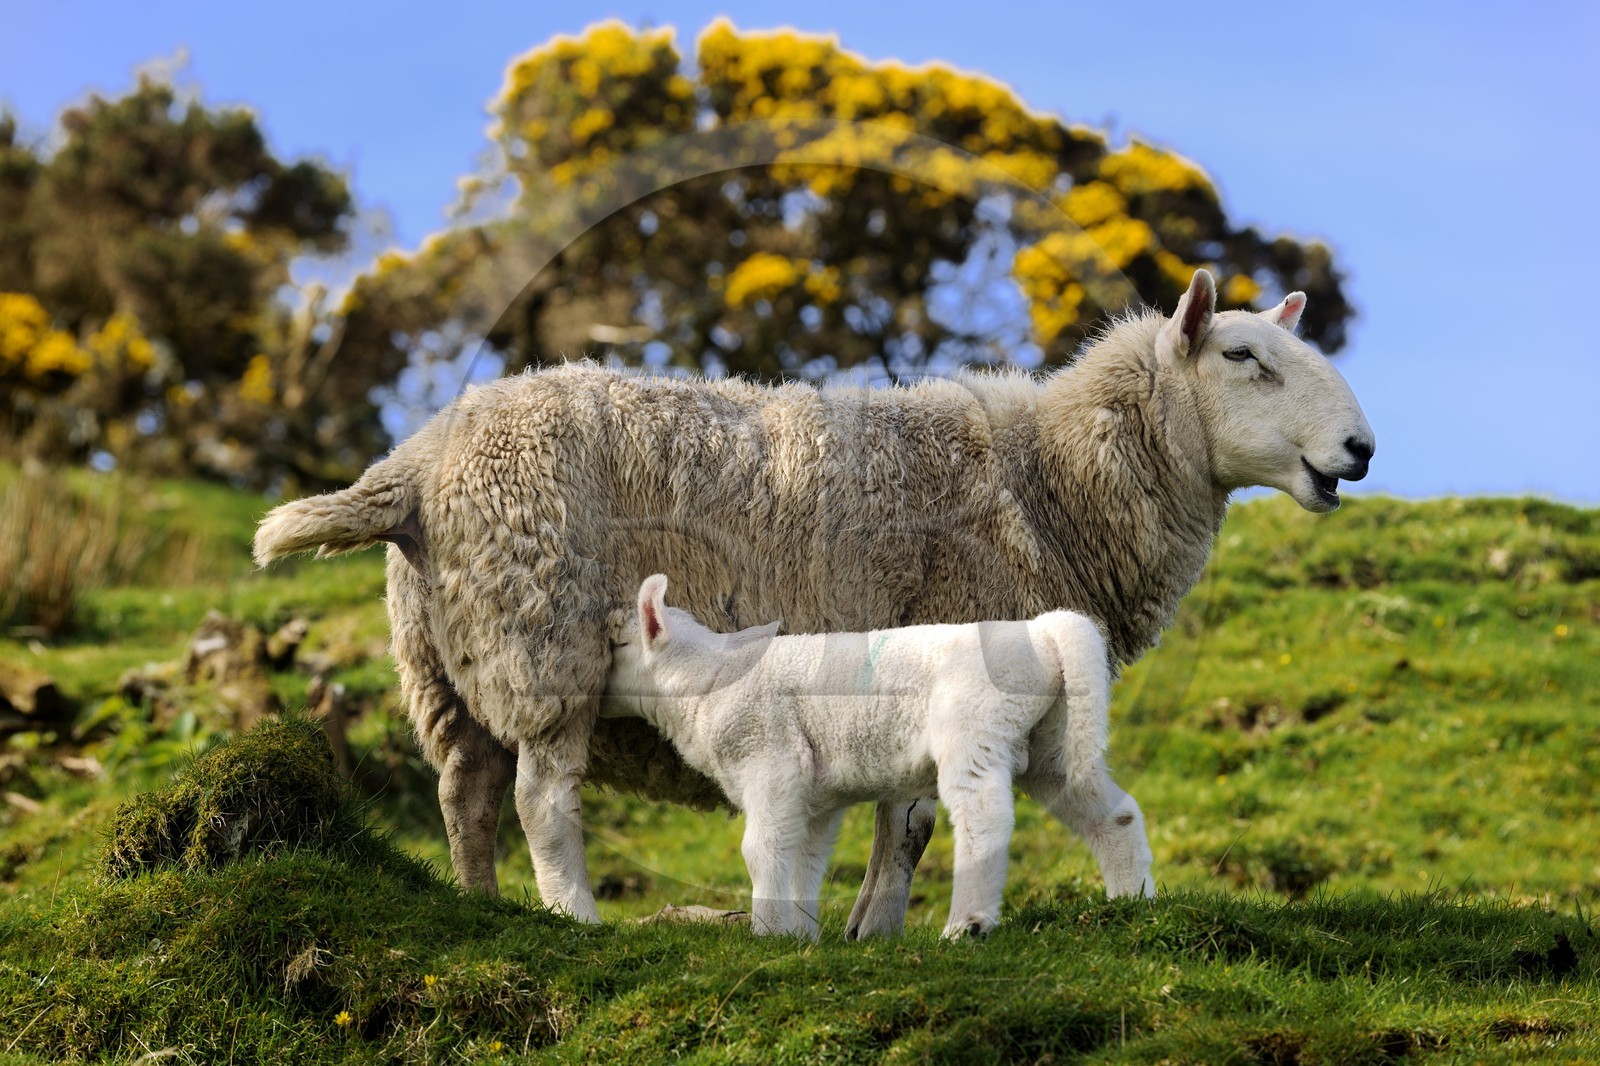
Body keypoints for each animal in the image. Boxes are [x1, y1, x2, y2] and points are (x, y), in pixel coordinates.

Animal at [606, 573, 1154, 939]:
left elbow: (761, 849)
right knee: (1113, 813)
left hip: (973, 727)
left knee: (984, 819)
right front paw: (799, 936)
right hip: (1052, 742)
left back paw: (967, 926)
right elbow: (804, 858)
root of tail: (1044, 633)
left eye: (618, 644)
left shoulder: (771, 760)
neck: (706, 680)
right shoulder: (813, 795)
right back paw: (1131, 902)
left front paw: (766, 933)